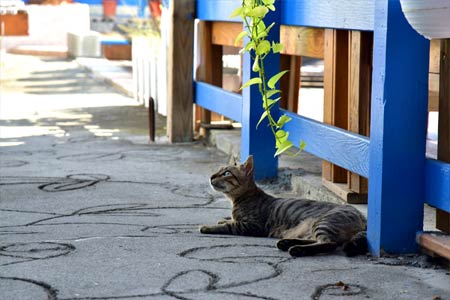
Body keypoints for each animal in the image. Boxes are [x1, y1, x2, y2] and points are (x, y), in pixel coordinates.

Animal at [199, 156, 368, 256]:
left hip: (323, 223)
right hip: (309, 229)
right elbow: (229, 219)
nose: (211, 177)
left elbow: (229, 225)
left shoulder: (252, 226)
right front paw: (224, 219)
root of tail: (362, 216)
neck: (237, 199)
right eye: (218, 170)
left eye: (226, 173)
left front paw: (208, 227)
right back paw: (287, 242)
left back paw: (296, 249)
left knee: (329, 243)